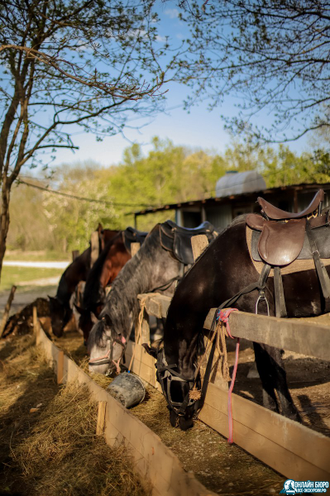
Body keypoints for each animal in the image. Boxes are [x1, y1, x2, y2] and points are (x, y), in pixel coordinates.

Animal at [146, 198, 330, 430]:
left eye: (163, 380)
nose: (177, 420)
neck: (219, 269)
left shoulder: (265, 318)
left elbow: (277, 372)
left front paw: (291, 417)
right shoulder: (252, 323)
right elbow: (264, 369)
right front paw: (270, 411)